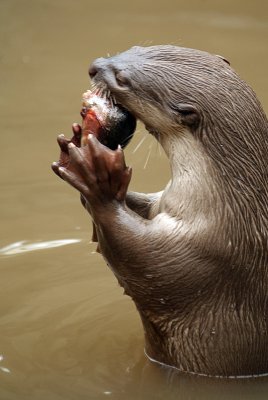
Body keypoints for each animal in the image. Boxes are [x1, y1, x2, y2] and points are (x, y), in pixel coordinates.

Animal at [52, 45, 268, 376]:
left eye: (123, 79)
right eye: (136, 48)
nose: (94, 65)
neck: (232, 203)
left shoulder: (209, 252)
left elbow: (141, 258)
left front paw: (95, 178)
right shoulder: (163, 202)